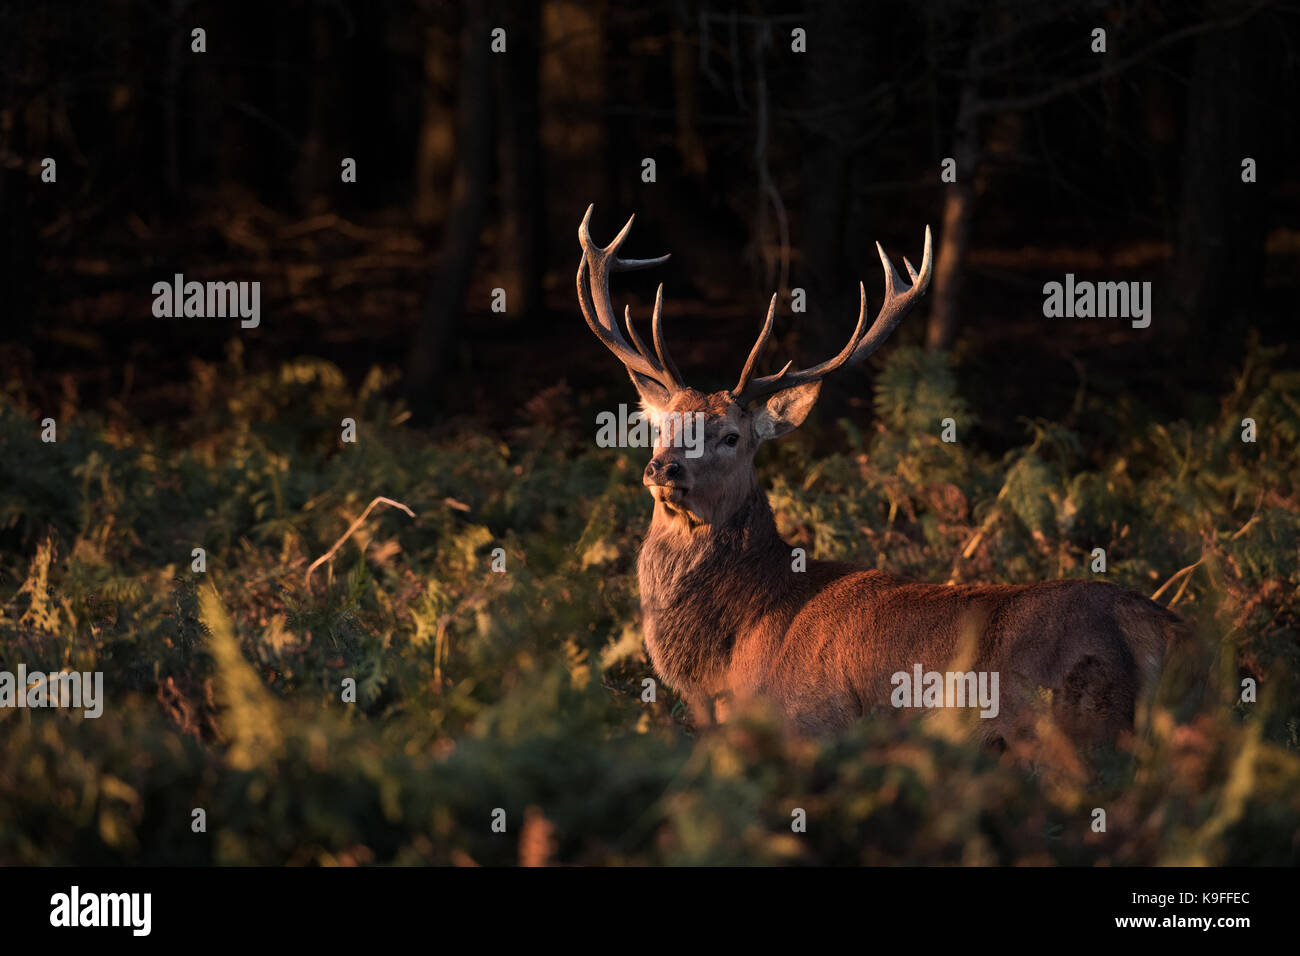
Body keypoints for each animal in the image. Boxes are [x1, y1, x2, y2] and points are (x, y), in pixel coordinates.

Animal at [576, 205, 1186, 751]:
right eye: (662, 426)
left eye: (730, 436)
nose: (663, 467)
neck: (728, 661)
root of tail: (1157, 630)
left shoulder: (811, 719)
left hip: (1063, 722)